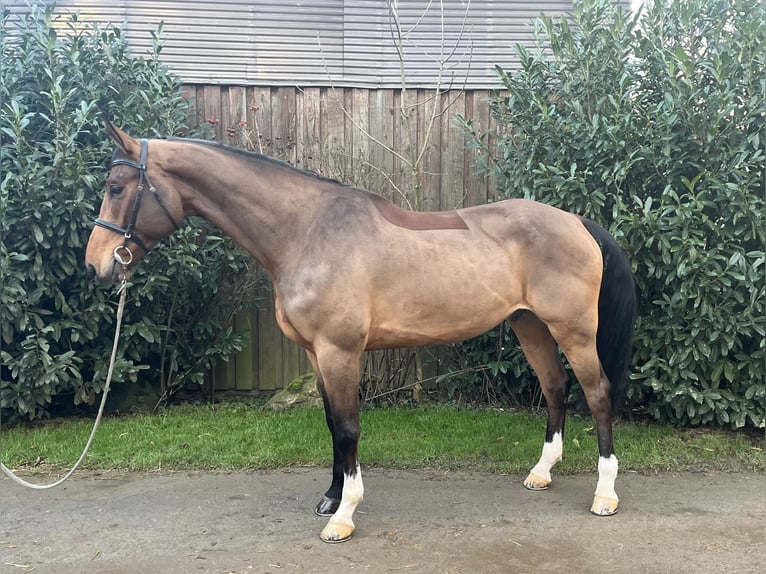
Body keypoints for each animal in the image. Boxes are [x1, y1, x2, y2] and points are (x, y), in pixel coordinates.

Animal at [84, 121, 640, 544]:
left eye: (116, 188)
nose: (96, 265)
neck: (306, 230)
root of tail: (577, 221)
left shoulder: (341, 351)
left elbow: (349, 427)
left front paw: (344, 515)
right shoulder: (316, 355)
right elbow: (333, 423)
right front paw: (330, 497)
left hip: (573, 330)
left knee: (597, 392)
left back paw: (605, 494)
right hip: (531, 325)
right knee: (555, 387)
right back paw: (541, 473)